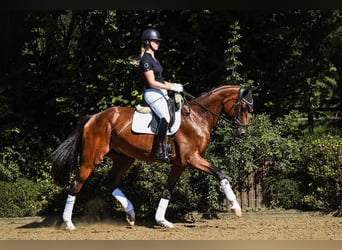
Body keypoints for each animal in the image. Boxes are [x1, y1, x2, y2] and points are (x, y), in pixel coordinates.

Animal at [49, 85, 255, 229]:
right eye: (243, 108)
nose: (243, 133)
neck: (198, 117)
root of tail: (93, 117)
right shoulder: (192, 159)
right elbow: (220, 174)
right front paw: (235, 207)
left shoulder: (180, 164)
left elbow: (167, 191)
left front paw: (162, 221)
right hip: (91, 159)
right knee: (76, 184)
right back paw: (68, 223)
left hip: (124, 158)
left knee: (110, 183)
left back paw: (131, 214)